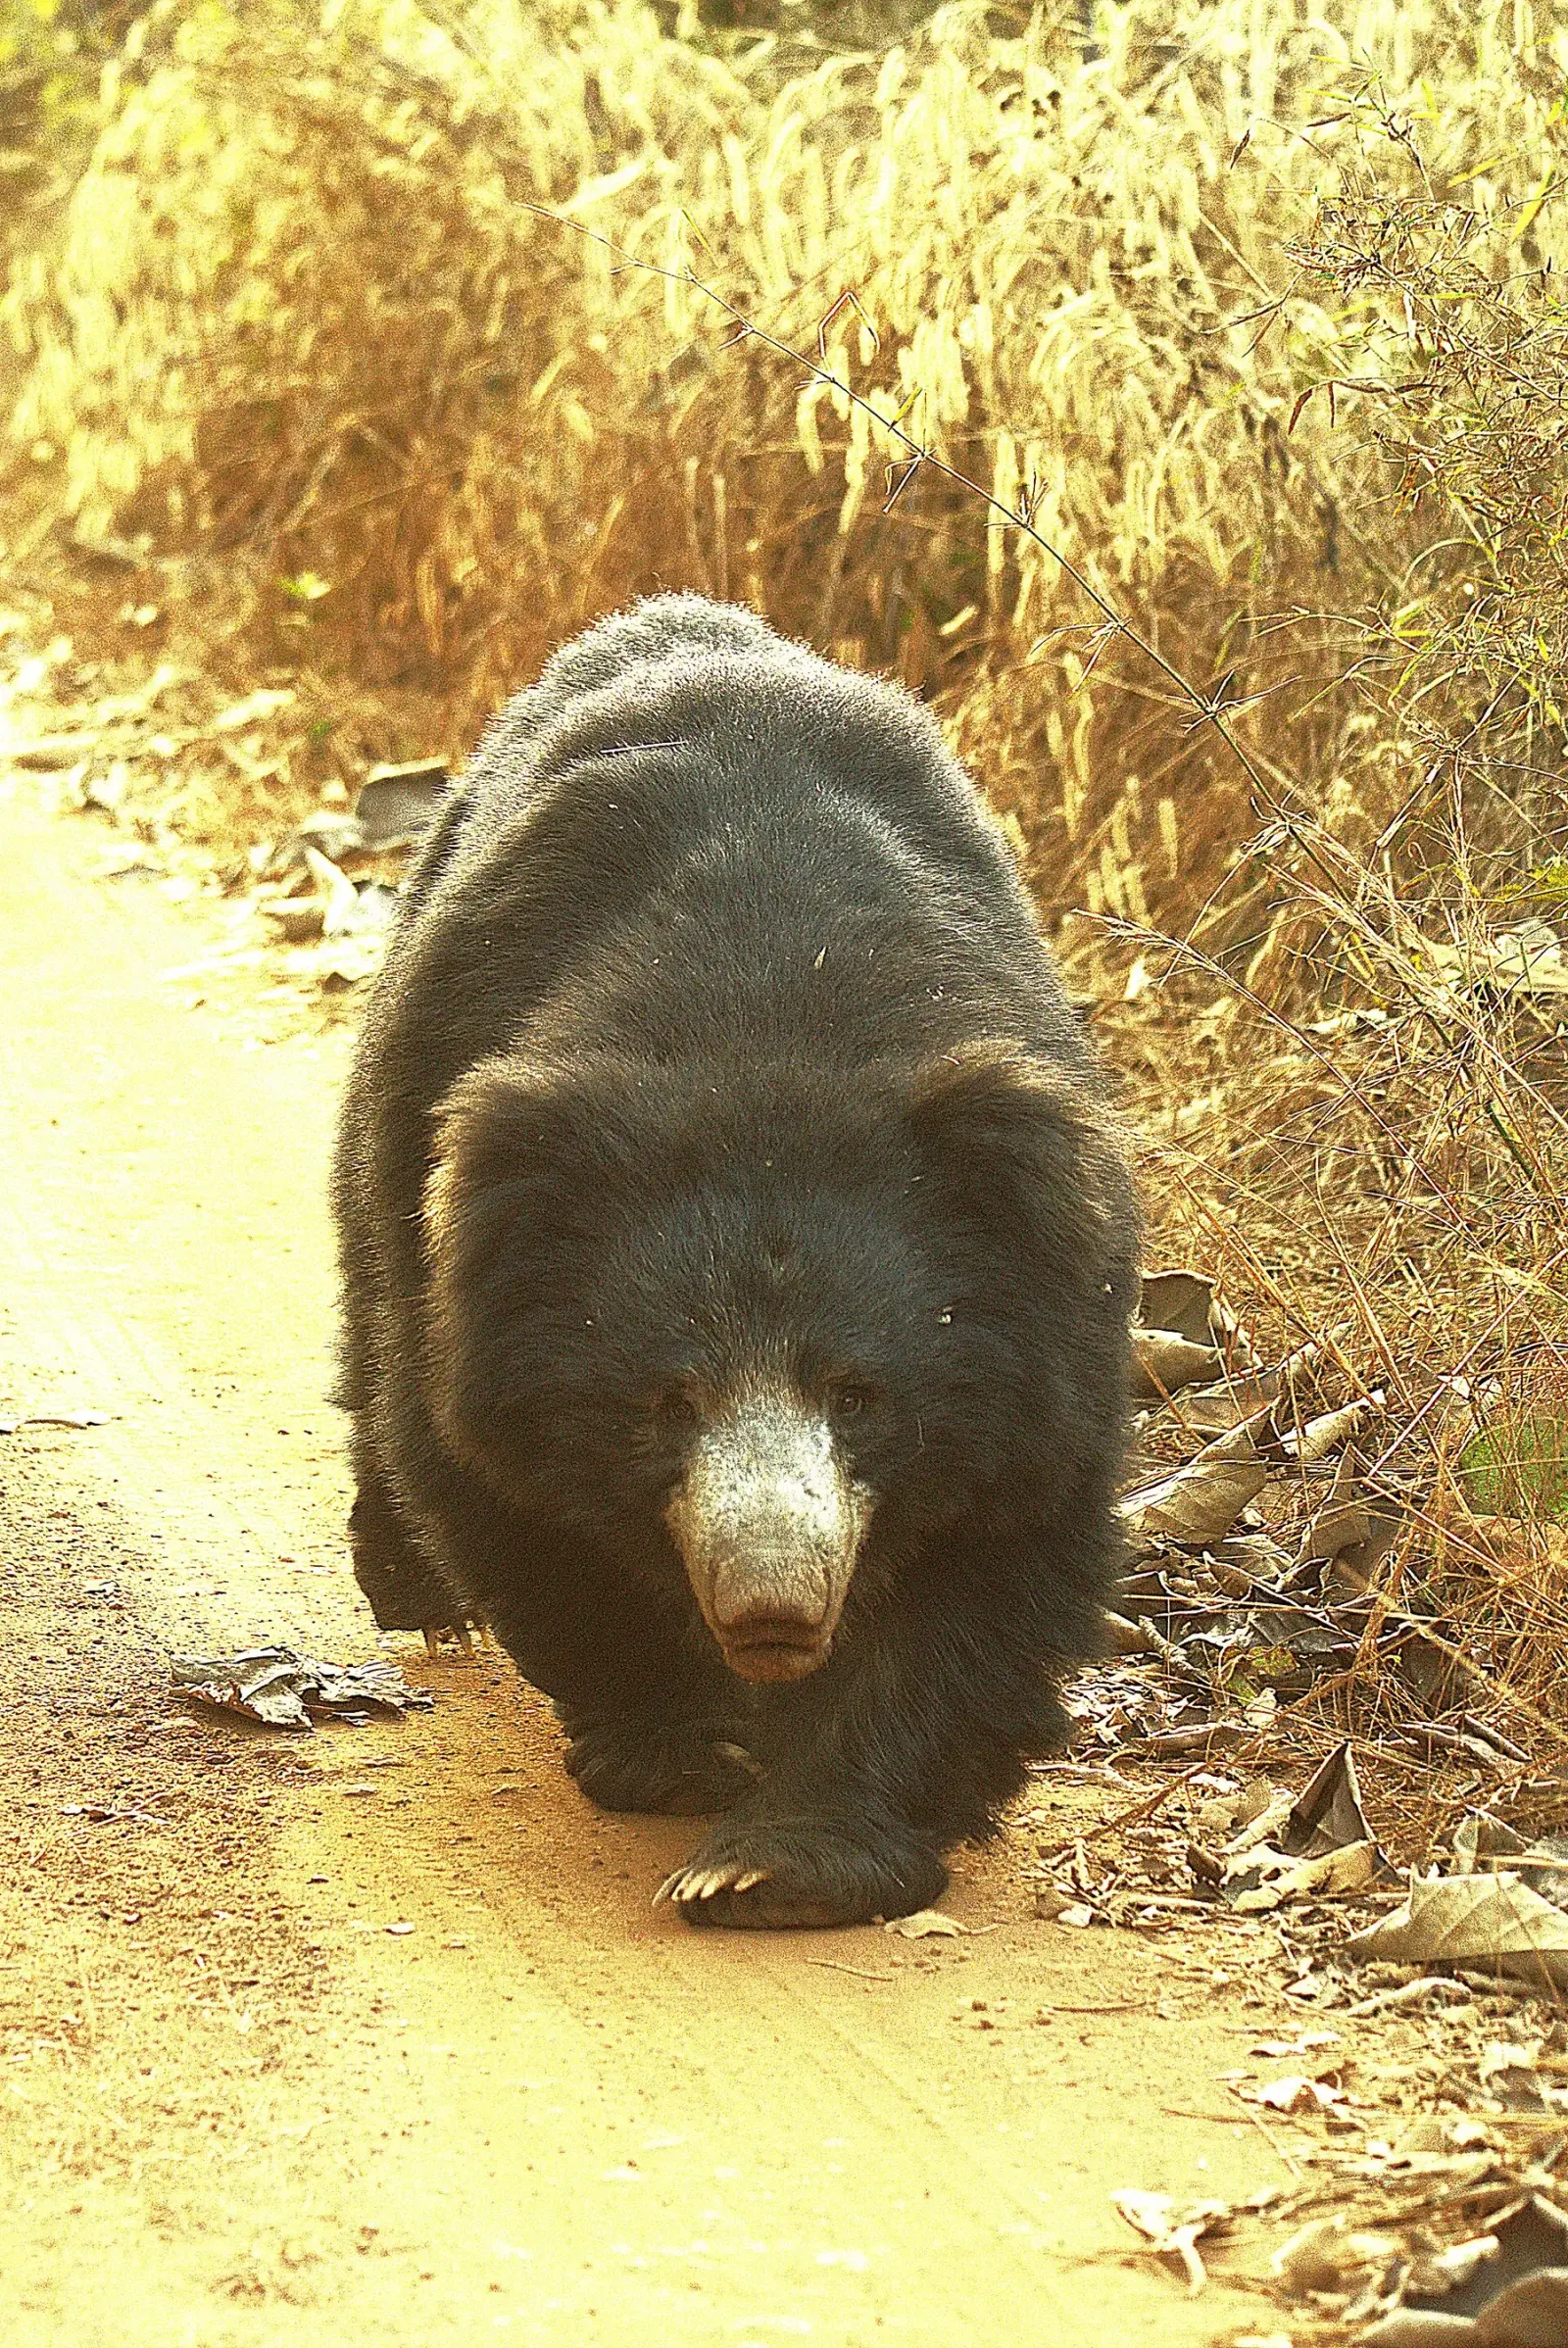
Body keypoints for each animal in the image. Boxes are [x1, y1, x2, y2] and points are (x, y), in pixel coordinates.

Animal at [332, 594, 1139, 1929]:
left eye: (858, 1394)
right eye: (667, 1400)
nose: (772, 1606)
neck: (765, 1021)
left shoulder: (1044, 1303)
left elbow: (994, 1548)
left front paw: (779, 1858)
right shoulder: (469, 1191)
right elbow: (499, 1476)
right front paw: (684, 1750)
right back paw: (412, 1590)